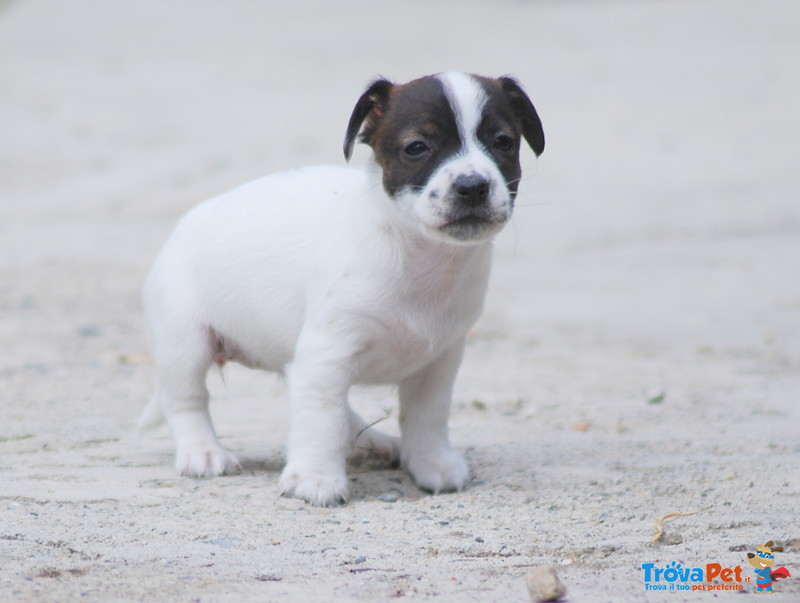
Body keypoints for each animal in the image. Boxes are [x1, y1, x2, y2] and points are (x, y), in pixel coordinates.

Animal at [139, 69, 544, 504]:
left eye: (503, 142)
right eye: (417, 147)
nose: (472, 185)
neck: (419, 257)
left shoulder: (438, 363)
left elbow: (427, 417)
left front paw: (431, 463)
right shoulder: (326, 355)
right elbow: (323, 419)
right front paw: (316, 478)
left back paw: (378, 442)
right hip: (185, 344)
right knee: (187, 401)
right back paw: (202, 452)